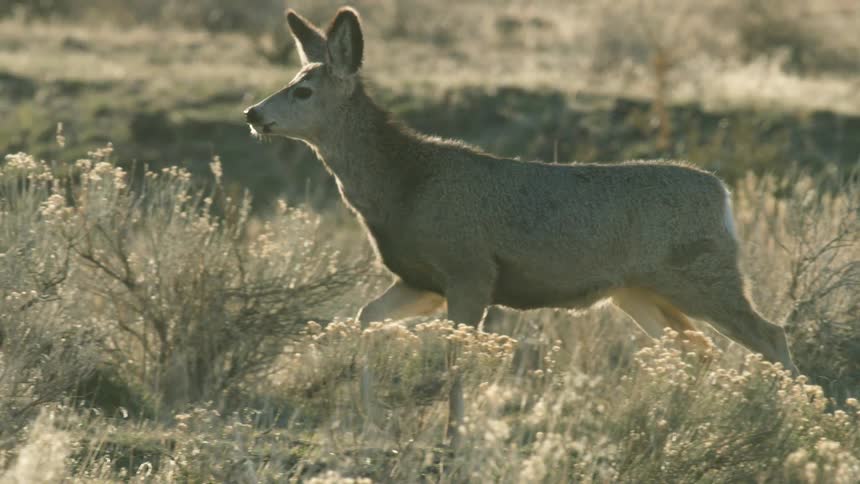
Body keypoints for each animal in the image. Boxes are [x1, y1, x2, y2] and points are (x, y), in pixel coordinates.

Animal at [243, 6, 799, 447]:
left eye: (303, 90)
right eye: (291, 79)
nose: (252, 113)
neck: (404, 185)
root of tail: (723, 195)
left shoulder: (469, 270)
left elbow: (456, 356)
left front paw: (454, 440)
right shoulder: (421, 280)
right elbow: (365, 317)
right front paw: (374, 424)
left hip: (702, 275)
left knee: (769, 334)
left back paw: (795, 424)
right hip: (640, 291)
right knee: (699, 351)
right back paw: (679, 425)